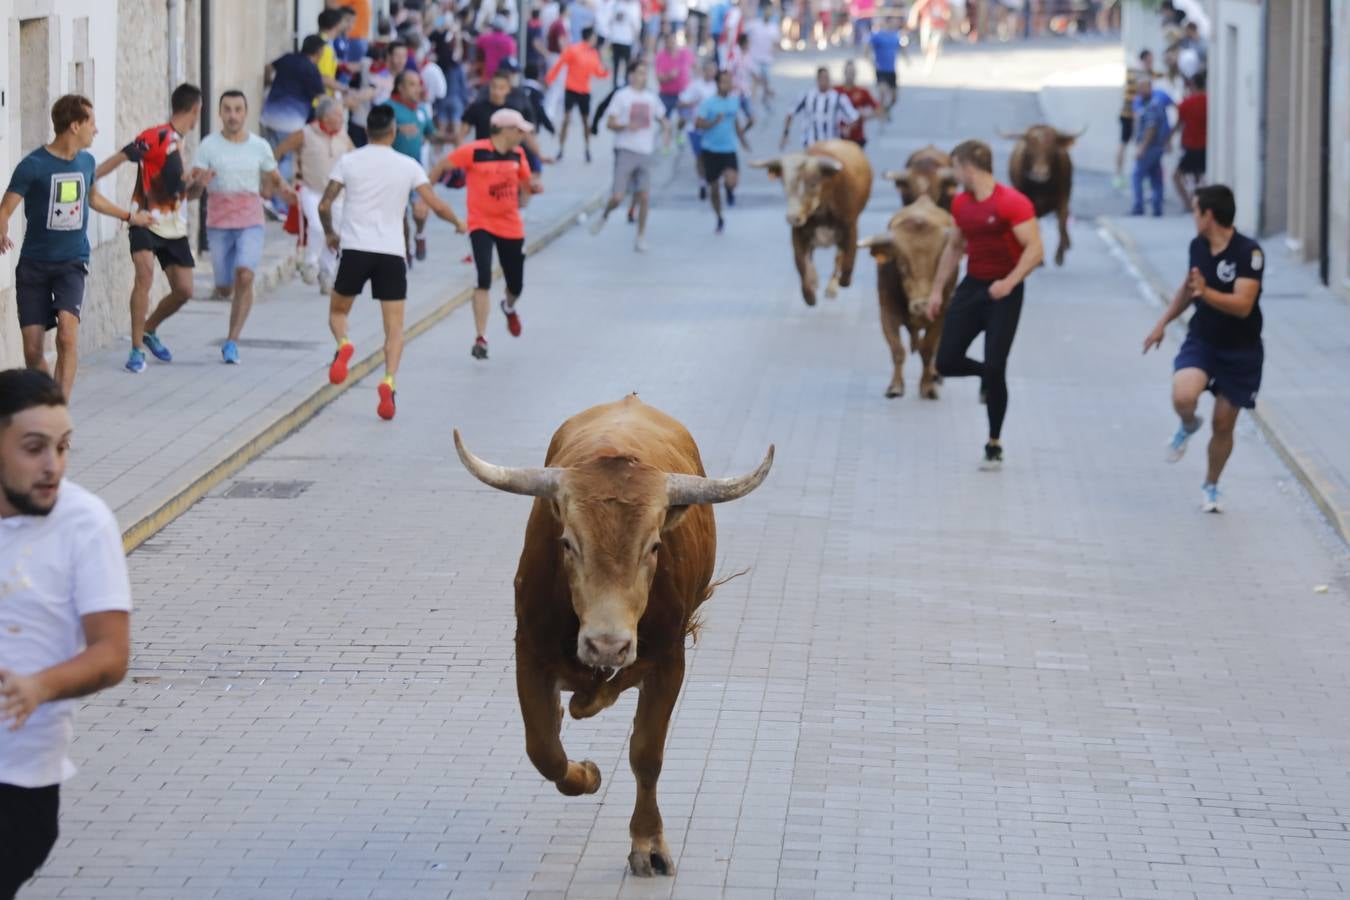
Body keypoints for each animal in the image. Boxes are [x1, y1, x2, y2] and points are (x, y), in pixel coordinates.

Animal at [453, 394, 772, 879]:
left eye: (654, 546)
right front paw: (586, 773)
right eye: (568, 542)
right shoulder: (528, 650)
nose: (607, 644)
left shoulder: (668, 661)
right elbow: (544, 749)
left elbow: (646, 752)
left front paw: (648, 842)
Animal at [750, 139, 874, 306]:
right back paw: (814, 280)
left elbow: (847, 259)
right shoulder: (797, 233)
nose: (792, 217)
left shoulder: (850, 227)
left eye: (813, 183)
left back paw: (832, 288)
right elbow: (801, 263)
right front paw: (809, 295)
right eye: (784, 184)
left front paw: (842, 282)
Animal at [858, 197, 955, 402]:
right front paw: (895, 386)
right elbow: (897, 350)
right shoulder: (887, 313)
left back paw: (934, 374)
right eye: (902, 263)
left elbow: (928, 350)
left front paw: (927, 387)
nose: (923, 305)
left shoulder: (941, 315)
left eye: (940, 262)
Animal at [1004, 123, 1085, 265]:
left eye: (1052, 148)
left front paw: (1059, 257)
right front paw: (1040, 260)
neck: (1042, 188)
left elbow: (1061, 223)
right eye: (1030, 148)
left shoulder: (1063, 198)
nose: (1040, 173)